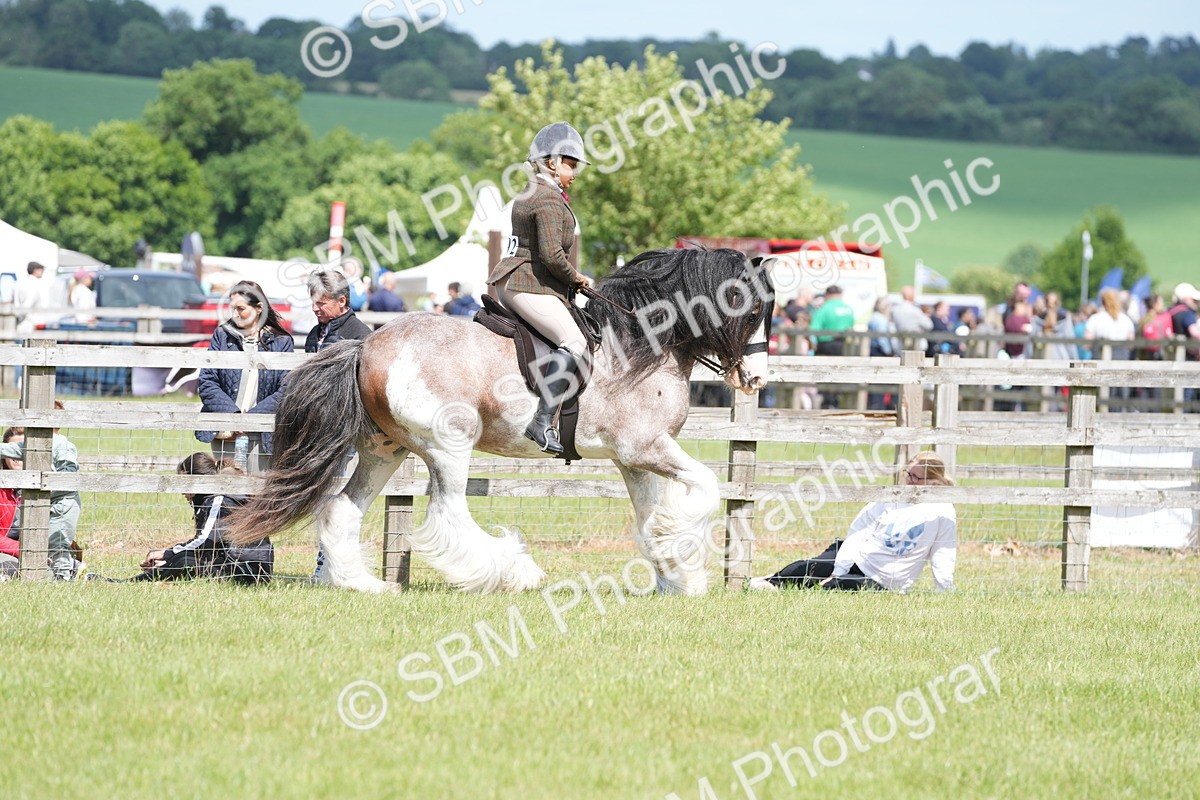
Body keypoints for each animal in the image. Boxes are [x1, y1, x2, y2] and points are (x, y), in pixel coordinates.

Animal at [225, 248, 773, 594]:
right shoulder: (646, 448)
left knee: (343, 509)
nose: (757, 379)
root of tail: (365, 346)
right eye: (750, 310)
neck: (638, 343)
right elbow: (705, 486)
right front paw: (682, 561)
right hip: (448, 445)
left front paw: (675, 575)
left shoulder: (633, 460)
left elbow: (648, 518)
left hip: (386, 449)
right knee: (448, 513)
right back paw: (513, 572)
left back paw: (363, 585)